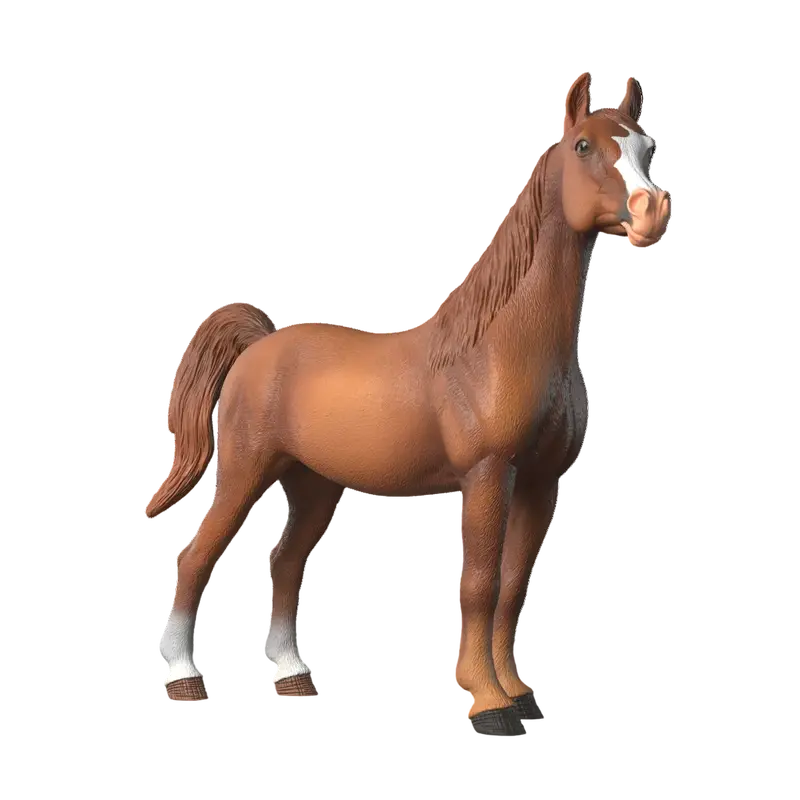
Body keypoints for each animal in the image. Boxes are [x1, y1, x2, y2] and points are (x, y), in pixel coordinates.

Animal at [145, 70, 672, 739]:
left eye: (647, 148)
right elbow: (478, 584)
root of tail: (260, 342)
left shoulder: (540, 479)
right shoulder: (487, 476)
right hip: (244, 471)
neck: (501, 343)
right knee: (193, 559)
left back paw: (294, 680)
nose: (652, 212)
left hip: (314, 485)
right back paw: (183, 683)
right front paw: (487, 703)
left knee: (283, 567)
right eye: (584, 146)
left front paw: (517, 692)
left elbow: (513, 585)